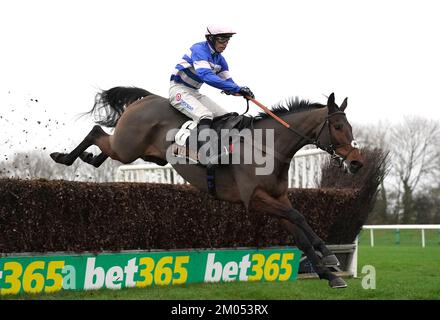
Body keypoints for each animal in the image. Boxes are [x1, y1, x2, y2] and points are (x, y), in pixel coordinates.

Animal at [49, 87, 362, 288]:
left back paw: (88, 158)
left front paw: (329, 275)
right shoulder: (255, 199)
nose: (357, 162)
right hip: (127, 147)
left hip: (139, 152)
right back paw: (62, 157)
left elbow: (299, 233)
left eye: (349, 127)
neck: (268, 147)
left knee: (103, 144)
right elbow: (299, 218)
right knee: (96, 132)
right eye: (337, 127)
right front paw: (329, 255)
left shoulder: (277, 199)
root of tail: (146, 98)